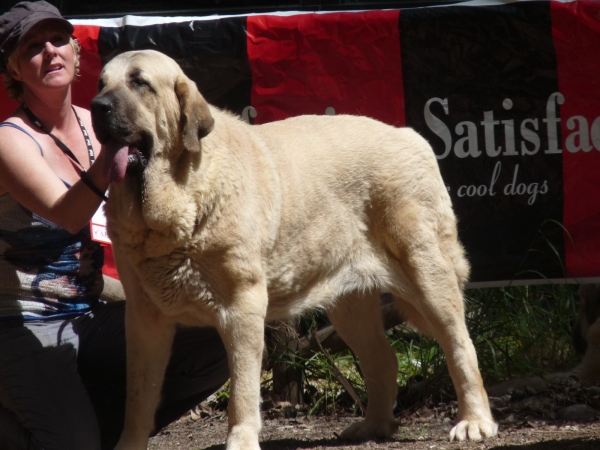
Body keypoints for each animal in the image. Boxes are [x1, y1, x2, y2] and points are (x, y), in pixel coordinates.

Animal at [91, 49, 496, 450]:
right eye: (101, 83)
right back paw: (373, 425)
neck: (177, 197)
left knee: (460, 345)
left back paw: (475, 422)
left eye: (140, 83)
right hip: (350, 304)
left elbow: (242, 390)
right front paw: (129, 444)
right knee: (383, 359)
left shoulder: (242, 306)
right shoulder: (144, 319)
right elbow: (139, 397)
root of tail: (410, 135)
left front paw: (241, 440)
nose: (97, 106)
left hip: (426, 272)